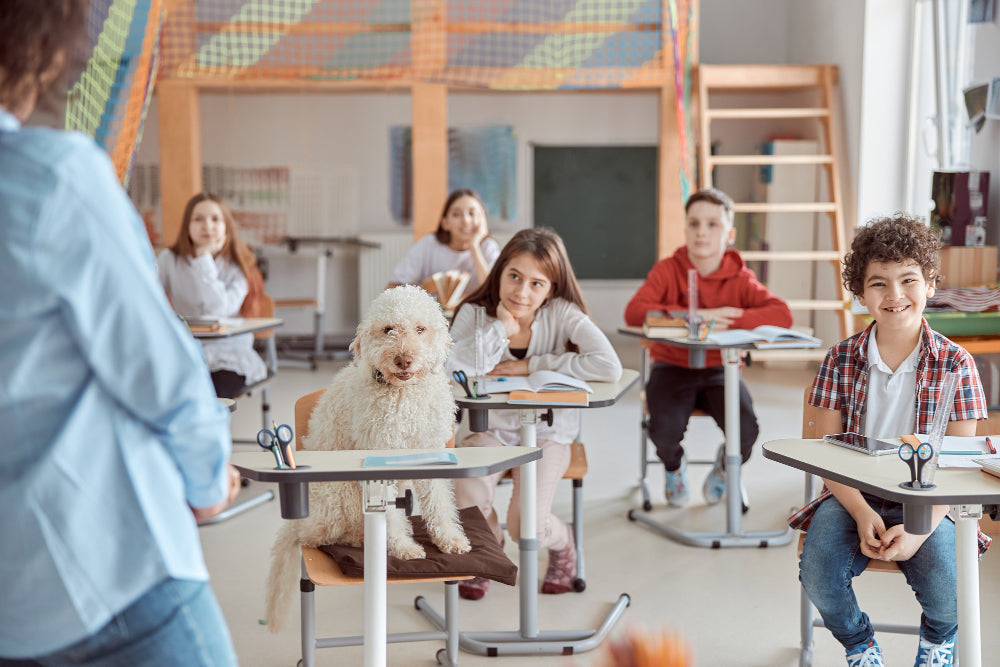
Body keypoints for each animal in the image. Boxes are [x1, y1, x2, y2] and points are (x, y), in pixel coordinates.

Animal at [264, 288, 470, 632]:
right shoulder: (377, 459)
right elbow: (392, 515)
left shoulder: (431, 452)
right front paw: (403, 547)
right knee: (316, 536)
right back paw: (359, 538)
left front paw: (451, 539)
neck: (403, 394)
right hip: (340, 493)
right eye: (388, 329)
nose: (404, 359)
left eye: (420, 329)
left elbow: (440, 504)